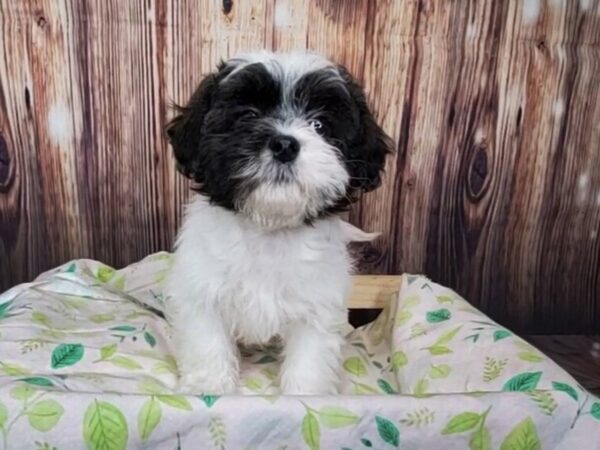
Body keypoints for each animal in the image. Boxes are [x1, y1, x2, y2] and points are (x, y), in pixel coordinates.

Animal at [166, 50, 392, 394]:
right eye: (248, 116)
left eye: (319, 124)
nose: (285, 144)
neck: (268, 229)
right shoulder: (202, 290)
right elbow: (207, 341)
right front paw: (208, 386)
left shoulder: (318, 305)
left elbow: (310, 358)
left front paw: (306, 394)